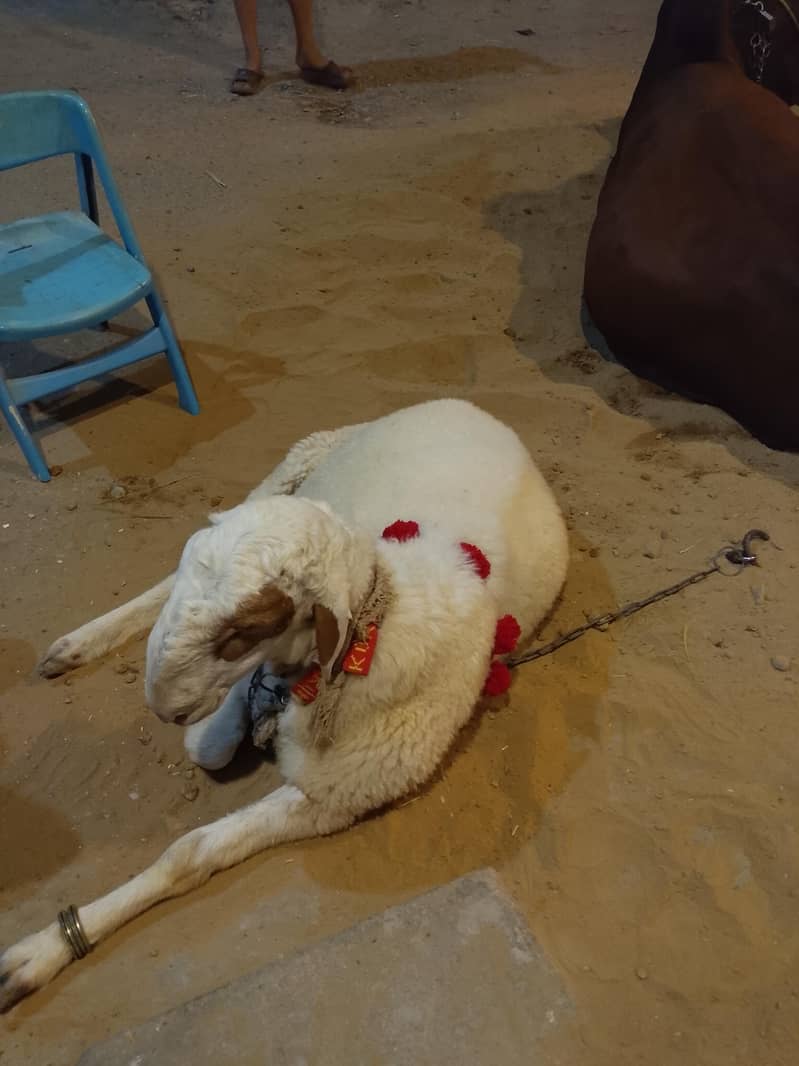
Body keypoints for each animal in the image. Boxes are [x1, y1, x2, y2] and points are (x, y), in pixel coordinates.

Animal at [0, 399, 567, 1010]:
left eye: (243, 631)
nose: (163, 709)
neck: (379, 615)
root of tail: (472, 407)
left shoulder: (335, 795)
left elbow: (190, 853)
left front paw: (37, 955)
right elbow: (208, 746)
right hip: (295, 464)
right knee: (161, 585)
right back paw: (77, 645)